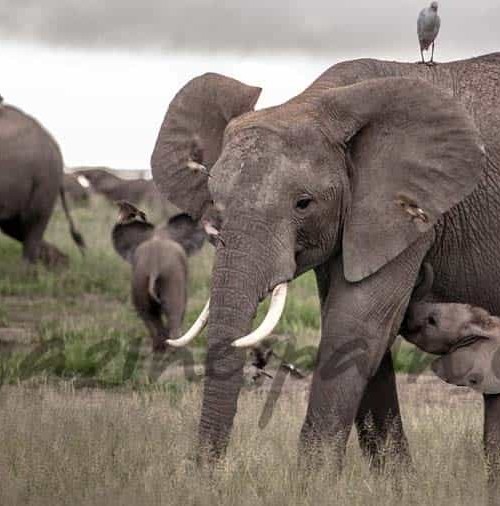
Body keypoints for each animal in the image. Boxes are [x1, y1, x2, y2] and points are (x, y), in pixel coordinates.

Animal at [113, 201, 205, 352]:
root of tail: (154, 268)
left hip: (140, 280)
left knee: (149, 316)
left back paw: (159, 350)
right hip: (172, 278)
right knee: (174, 314)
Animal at [150, 52, 500, 486]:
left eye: (304, 203)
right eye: (214, 200)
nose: (205, 475)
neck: (319, 102)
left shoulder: (408, 211)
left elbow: (353, 325)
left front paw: (309, 485)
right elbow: (358, 331)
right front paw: (395, 487)